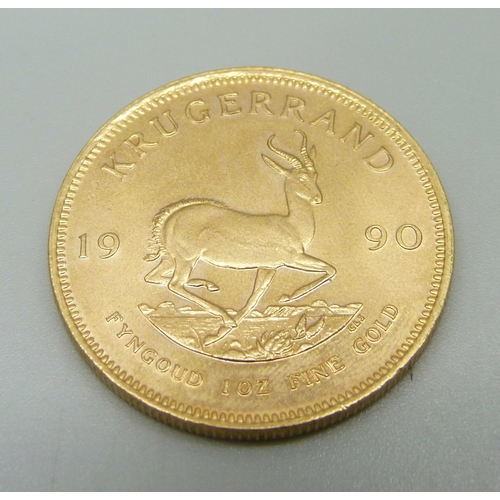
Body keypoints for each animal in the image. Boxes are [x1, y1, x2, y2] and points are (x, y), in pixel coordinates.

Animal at [144, 130, 337, 346]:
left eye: (315, 175)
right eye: (302, 177)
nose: (318, 198)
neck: (292, 226)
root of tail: (169, 218)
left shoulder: (268, 267)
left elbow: (253, 299)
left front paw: (216, 336)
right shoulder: (292, 259)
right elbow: (330, 268)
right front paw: (290, 296)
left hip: (172, 259)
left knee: (154, 277)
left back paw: (209, 287)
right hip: (187, 259)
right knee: (175, 284)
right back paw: (224, 314)